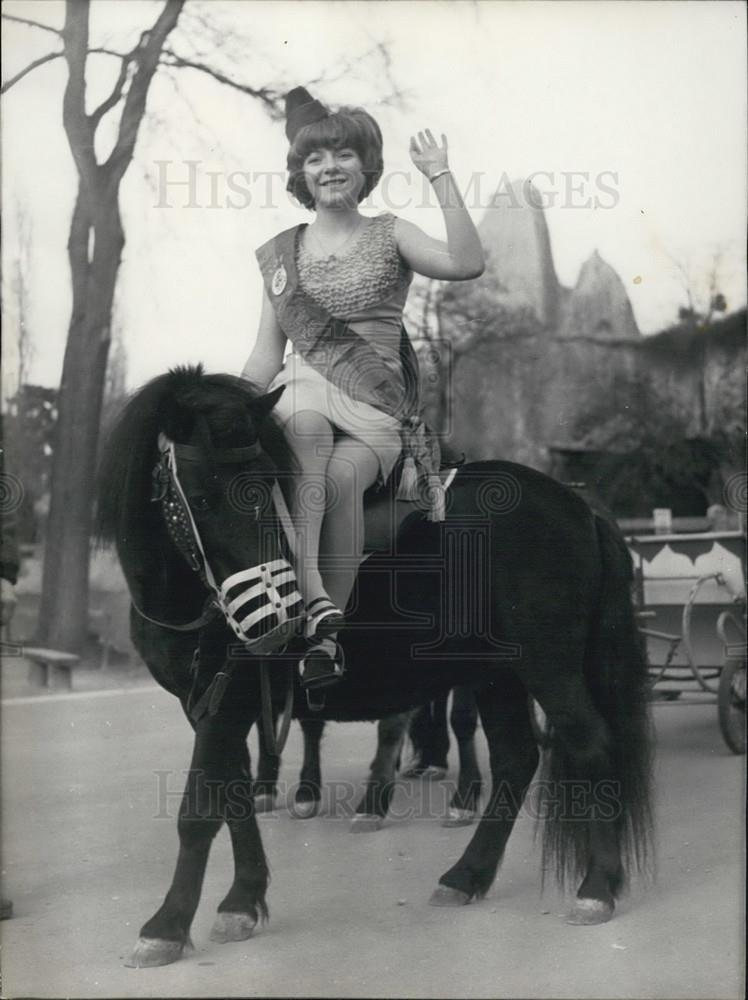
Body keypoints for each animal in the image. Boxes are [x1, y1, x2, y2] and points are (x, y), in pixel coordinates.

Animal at [96, 370, 652, 968]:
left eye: (269, 488)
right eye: (200, 498)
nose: (277, 621)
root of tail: (578, 502)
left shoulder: (228, 702)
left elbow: (199, 810)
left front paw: (167, 925)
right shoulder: (206, 707)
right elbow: (235, 797)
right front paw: (243, 900)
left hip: (549, 667)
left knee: (591, 743)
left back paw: (596, 888)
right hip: (497, 674)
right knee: (517, 759)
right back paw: (466, 875)